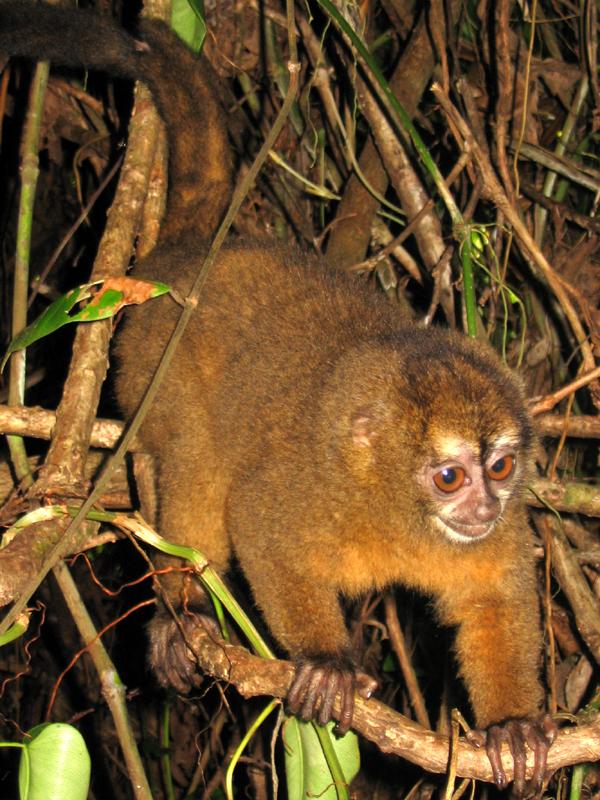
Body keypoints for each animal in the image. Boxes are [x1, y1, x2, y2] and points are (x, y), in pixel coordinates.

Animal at [0, 3, 556, 795]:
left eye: (501, 468)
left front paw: (512, 726)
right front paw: (325, 662)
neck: (399, 514)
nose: (483, 507)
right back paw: (184, 612)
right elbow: (257, 521)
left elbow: (492, 596)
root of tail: (189, 258)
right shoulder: (314, 489)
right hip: (150, 366)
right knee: (194, 462)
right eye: (450, 476)